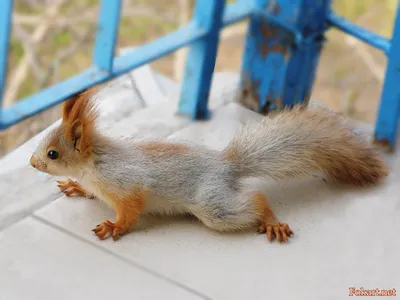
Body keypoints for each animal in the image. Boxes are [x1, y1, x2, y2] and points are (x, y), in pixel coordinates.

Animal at [30, 88, 388, 243]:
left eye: (53, 153)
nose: (32, 163)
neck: (93, 164)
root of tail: (227, 166)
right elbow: (88, 191)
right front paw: (75, 187)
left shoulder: (126, 184)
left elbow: (130, 211)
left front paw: (114, 226)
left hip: (213, 207)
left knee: (255, 199)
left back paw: (270, 219)